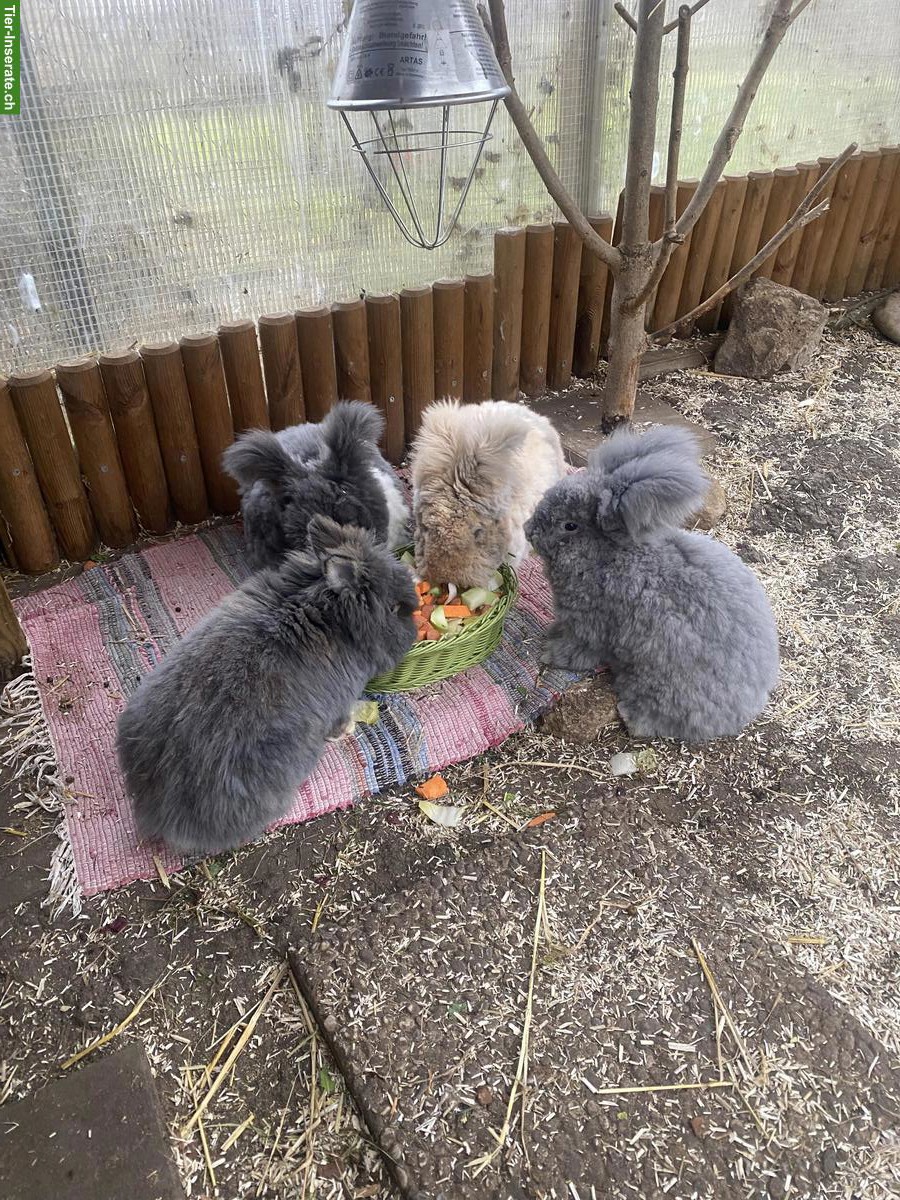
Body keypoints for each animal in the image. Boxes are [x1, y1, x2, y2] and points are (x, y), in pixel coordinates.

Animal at [116, 516, 418, 856]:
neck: (330, 616)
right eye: (393, 609)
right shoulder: (338, 701)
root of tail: (156, 809)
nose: (414, 629)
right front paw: (346, 731)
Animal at [524, 424, 780, 742]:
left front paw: (551, 653)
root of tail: (746, 706)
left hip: (657, 678)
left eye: (569, 526)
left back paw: (633, 718)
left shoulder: (588, 625)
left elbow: (578, 650)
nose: (528, 530)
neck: (609, 556)